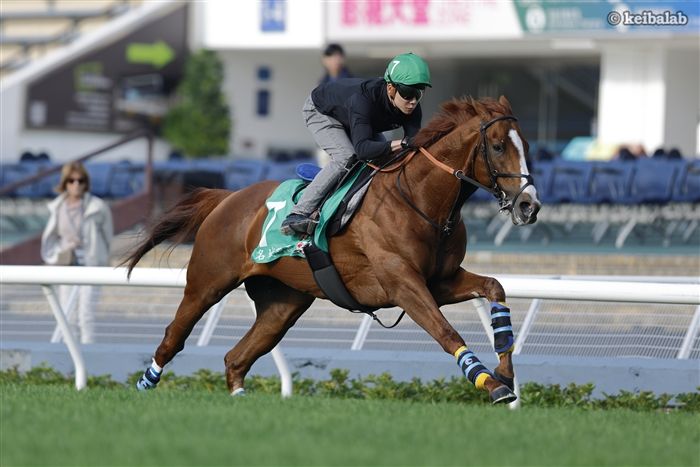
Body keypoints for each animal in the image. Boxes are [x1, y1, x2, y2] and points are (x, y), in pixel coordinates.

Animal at [126, 95, 541, 404]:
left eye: (527, 146)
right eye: (498, 146)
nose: (529, 205)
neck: (421, 199)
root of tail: (227, 198)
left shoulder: (440, 280)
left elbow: (494, 288)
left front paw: (505, 372)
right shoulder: (403, 284)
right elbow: (447, 333)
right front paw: (492, 385)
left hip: (283, 303)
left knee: (236, 357)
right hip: (207, 283)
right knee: (174, 336)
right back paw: (144, 384)